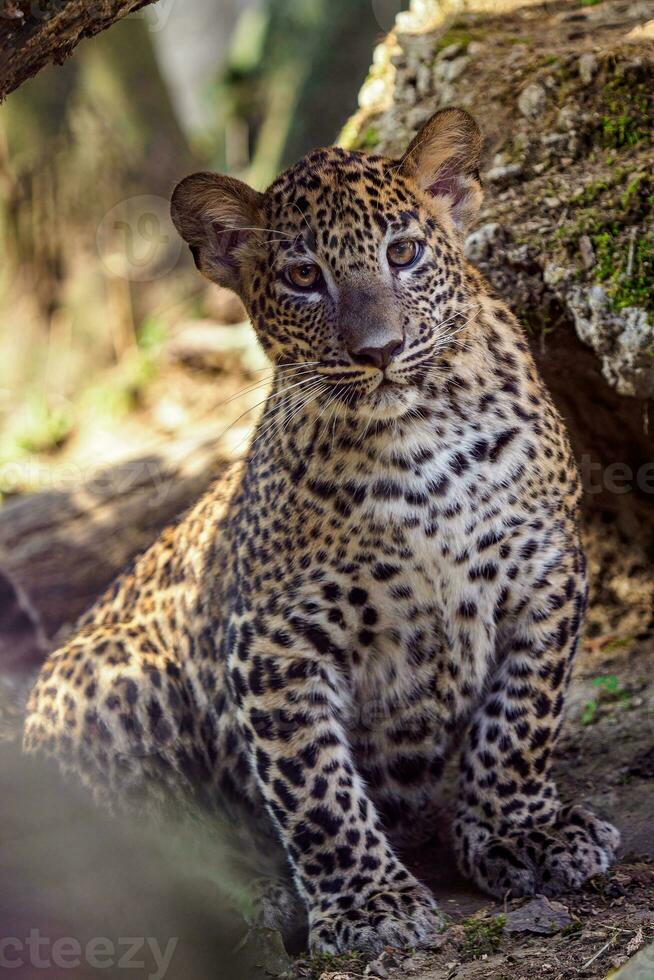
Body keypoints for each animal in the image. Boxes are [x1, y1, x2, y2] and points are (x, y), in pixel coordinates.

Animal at [23, 109, 624, 956]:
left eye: (402, 253)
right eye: (305, 278)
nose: (379, 351)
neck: (419, 440)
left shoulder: (546, 572)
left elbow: (520, 719)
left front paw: (522, 833)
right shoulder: (275, 642)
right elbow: (315, 789)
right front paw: (370, 903)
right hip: (106, 672)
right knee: (140, 858)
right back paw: (247, 898)